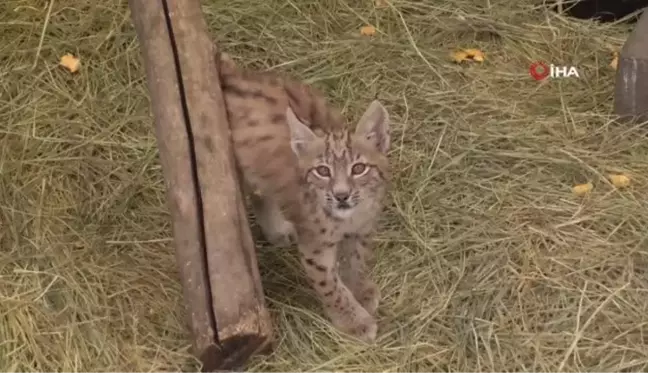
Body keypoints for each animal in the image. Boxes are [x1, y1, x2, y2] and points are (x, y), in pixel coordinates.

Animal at [216, 52, 390, 342]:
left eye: (358, 169)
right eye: (323, 171)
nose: (341, 196)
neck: (348, 217)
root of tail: (236, 76)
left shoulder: (362, 229)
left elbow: (357, 261)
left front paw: (361, 290)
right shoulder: (315, 247)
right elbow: (330, 286)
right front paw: (353, 320)